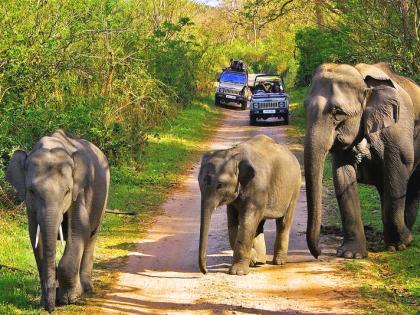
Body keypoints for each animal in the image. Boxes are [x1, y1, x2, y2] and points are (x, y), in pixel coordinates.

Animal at [6, 129, 110, 314]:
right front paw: (46, 301)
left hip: (103, 199)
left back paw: (87, 289)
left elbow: (79, 230)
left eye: (67, 191)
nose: (50, 310)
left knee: (91, 235)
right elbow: (35, 237)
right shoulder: (31, 206)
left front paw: (69, 299)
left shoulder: (80, 191)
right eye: (32, 191)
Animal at [198, 136, 300, 276]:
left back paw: (279, 262)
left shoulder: (257, 186)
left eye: (220, 185)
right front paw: (252, 259)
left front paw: (238, 272)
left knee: (283, 222)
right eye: (199, 182)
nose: (205, 271)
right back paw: (260, 261)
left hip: (294, 188)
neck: (233, 154)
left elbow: (247, 222)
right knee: (259, 224)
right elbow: (232, 223)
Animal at [306, 63, 420, 260]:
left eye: (338, 112)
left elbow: (397, 171)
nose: (318, 253)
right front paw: (351, 254)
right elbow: (342, 175)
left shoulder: (398, 129)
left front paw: (400, 244)